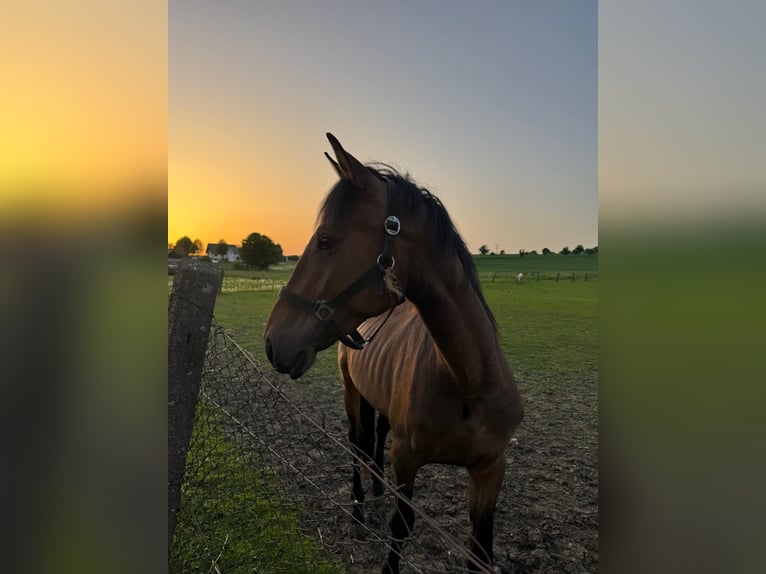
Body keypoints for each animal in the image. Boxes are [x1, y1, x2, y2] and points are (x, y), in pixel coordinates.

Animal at [264, 133, 524, 573]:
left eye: (326, 240)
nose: (272, 341)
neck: (467, 379)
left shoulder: (491, 468)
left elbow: (480, 551)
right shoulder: (407, 459)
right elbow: (400, 527)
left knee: (376, 437)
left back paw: (375, 488)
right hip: (351, 392)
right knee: (357, 443)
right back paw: (358, 512)